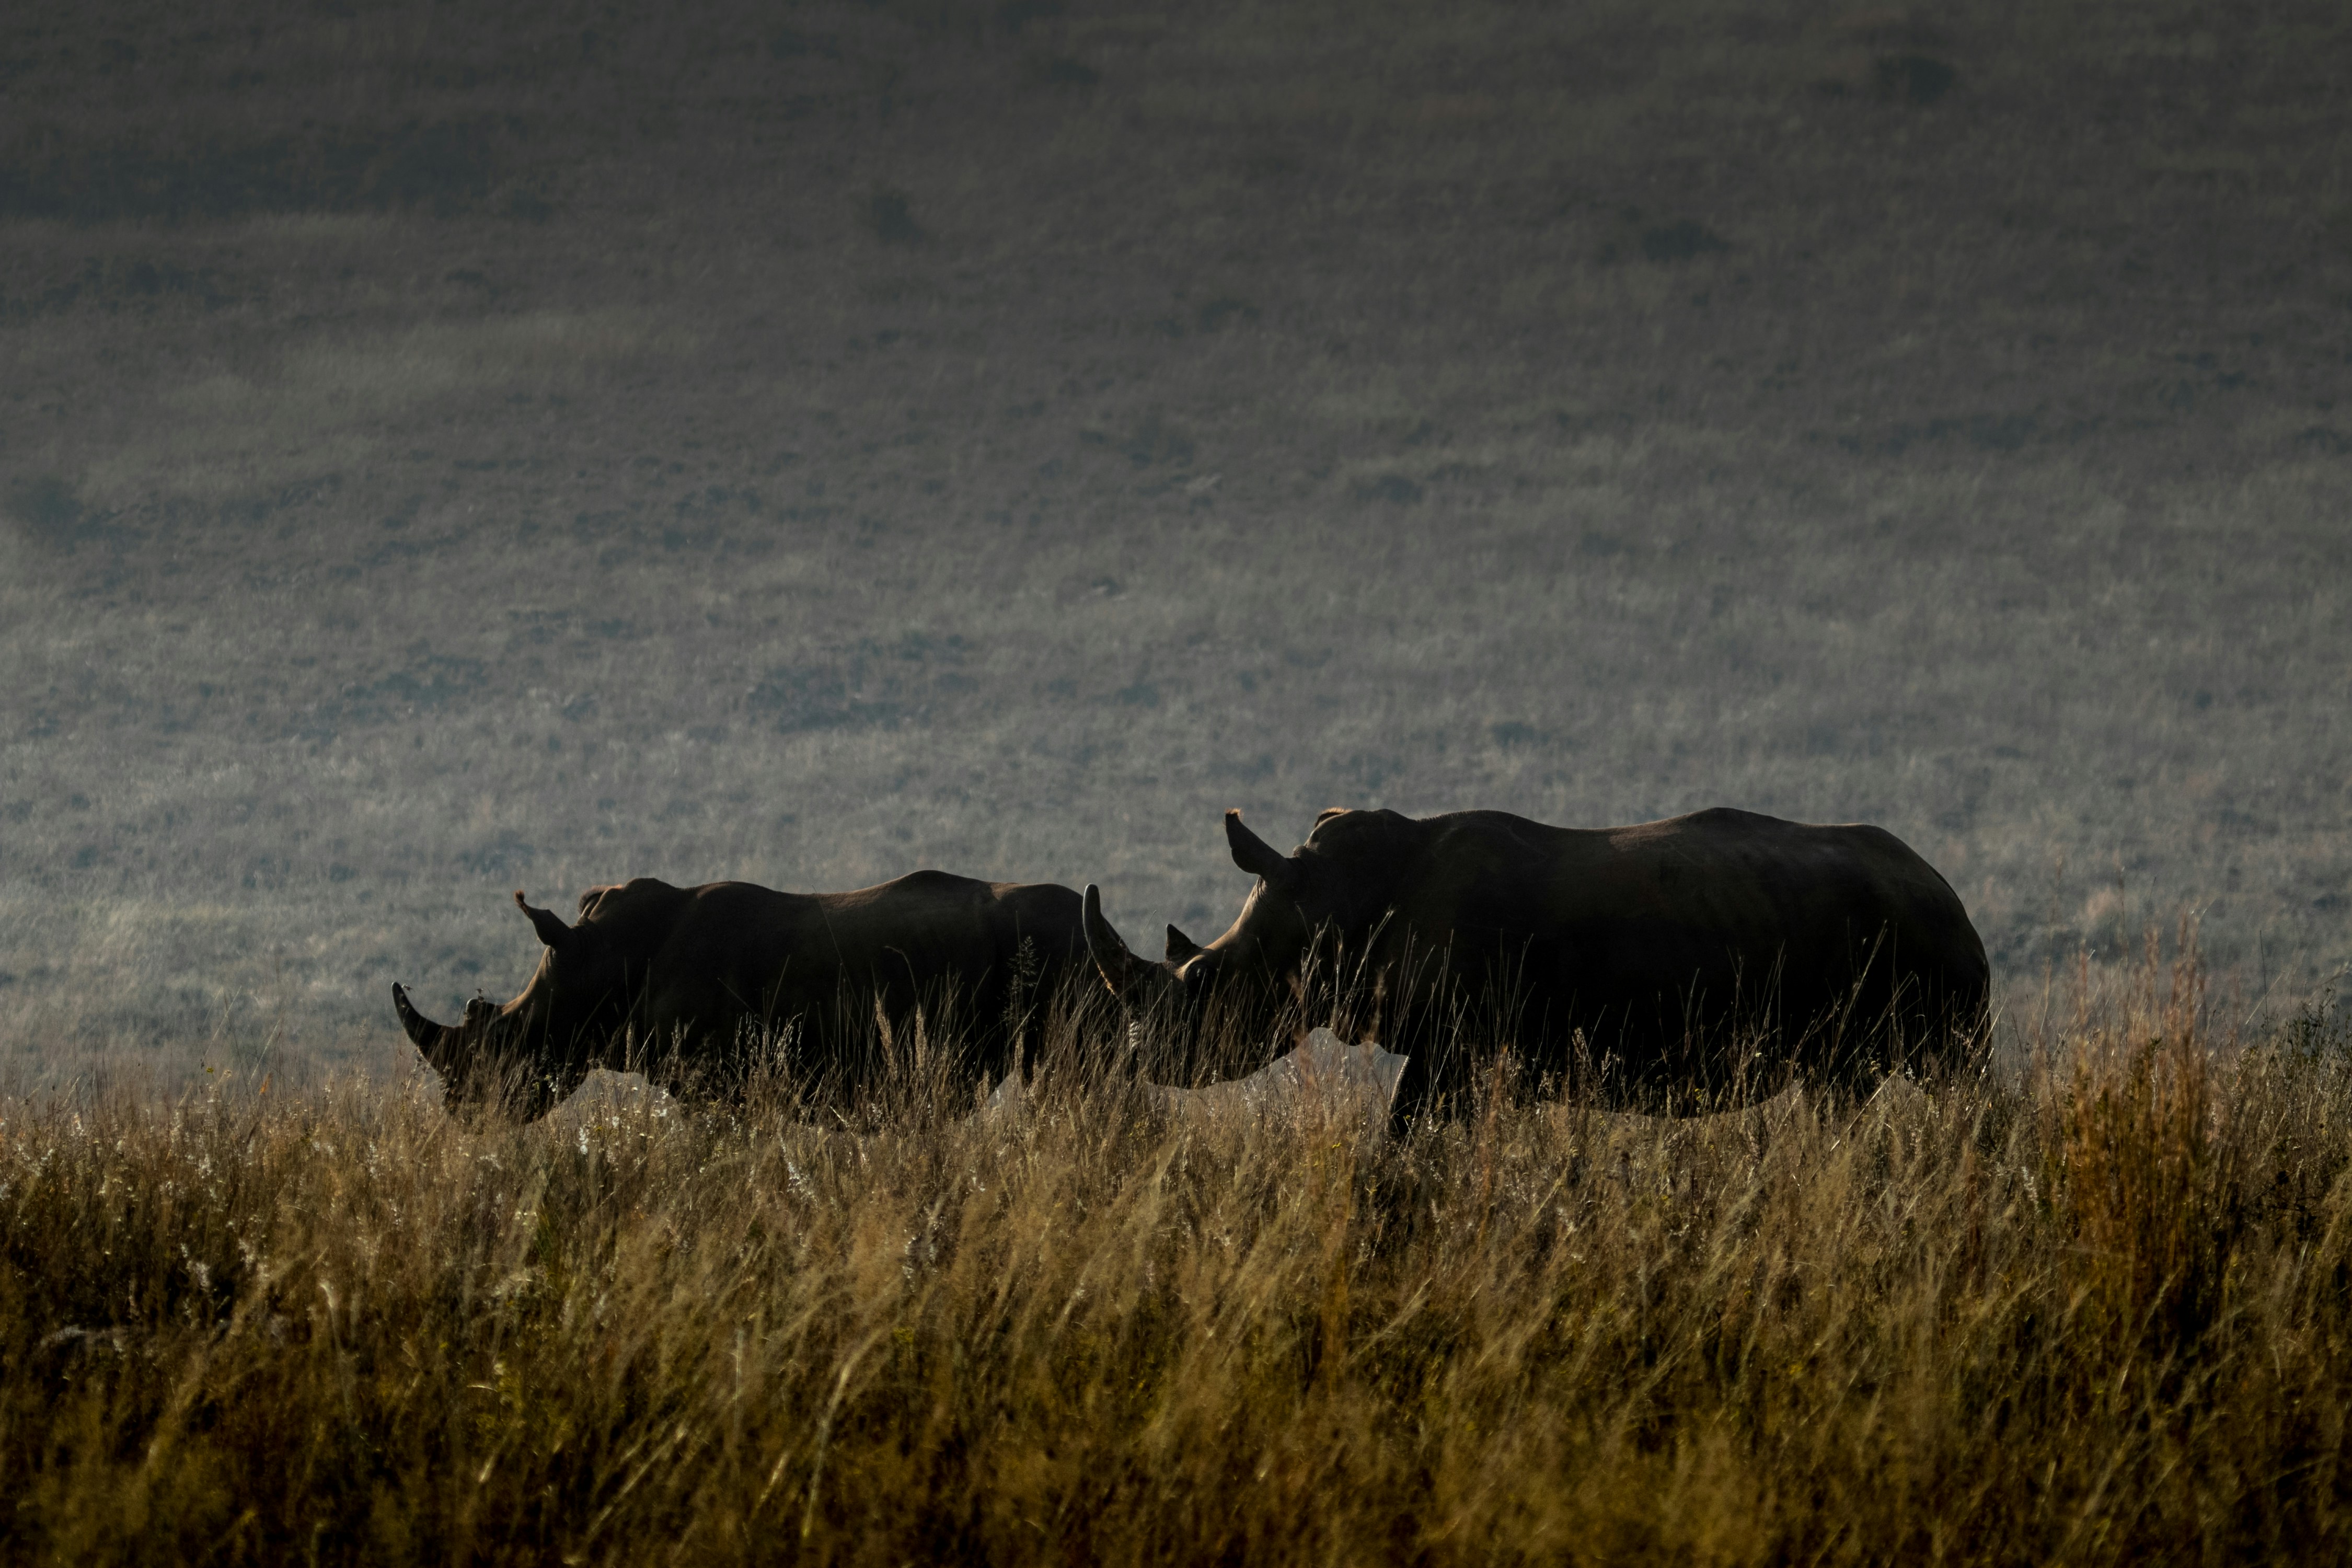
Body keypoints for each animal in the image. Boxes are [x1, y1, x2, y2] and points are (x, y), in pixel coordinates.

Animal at [1080, 806, 1990, 1126]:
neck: (1328, 900)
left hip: (1933, 945)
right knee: (1842, 1090)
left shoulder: (1459, 1043)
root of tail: (1945, 884)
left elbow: (1409, 1128)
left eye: (1202, 982)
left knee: (1955, 1077)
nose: (1141, 1061)